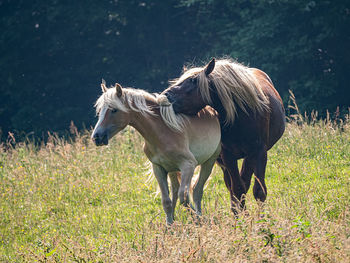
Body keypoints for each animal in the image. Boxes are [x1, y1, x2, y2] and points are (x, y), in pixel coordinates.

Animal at [91, 82, 220, 225]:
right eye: (99, 111)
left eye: (114, 110)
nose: (96, 137)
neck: (163, 130)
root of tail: (212, 111)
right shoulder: (158, 168)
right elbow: (167, 201)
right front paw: (169, 225)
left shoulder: (188, 165)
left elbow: (184, 197)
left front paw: (197, 219)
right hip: (173, 169)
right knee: (176, 190)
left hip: (209, 162)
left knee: (197, 190)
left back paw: (199, 214)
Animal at [161, 58, 284, 214]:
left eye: (193, 80)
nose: (166, 95)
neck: (240, 116)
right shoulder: (228, 156)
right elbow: (237, 188)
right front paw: (241, 216)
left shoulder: (258, 152)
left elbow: (258, 191)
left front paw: (260, 218)